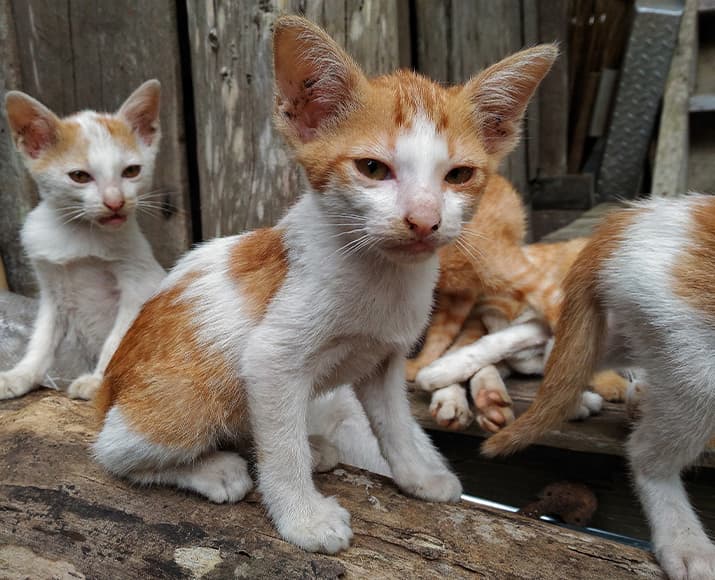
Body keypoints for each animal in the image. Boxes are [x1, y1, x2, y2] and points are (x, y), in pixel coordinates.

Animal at [0, 80, 165, 398]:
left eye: (131, 171)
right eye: (79, 176)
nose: (115, 202)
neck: (78, 233)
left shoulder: (140, 284)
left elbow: (118, 338)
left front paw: (98, 381)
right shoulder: (52, 292)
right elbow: (41, 339)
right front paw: (22, 375)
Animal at [91, 15, 560, 556]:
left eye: (459, 175)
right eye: (372, 168)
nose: (424, 221)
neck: (381, 276)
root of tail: (107, 391)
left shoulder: (384, 360)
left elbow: (395, 426)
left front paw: (418, 475)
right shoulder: (270, 361)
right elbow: (282, 448)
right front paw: (303, 518)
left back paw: (303, 447)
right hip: (187, 396)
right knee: (115, 452)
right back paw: (214, 470)